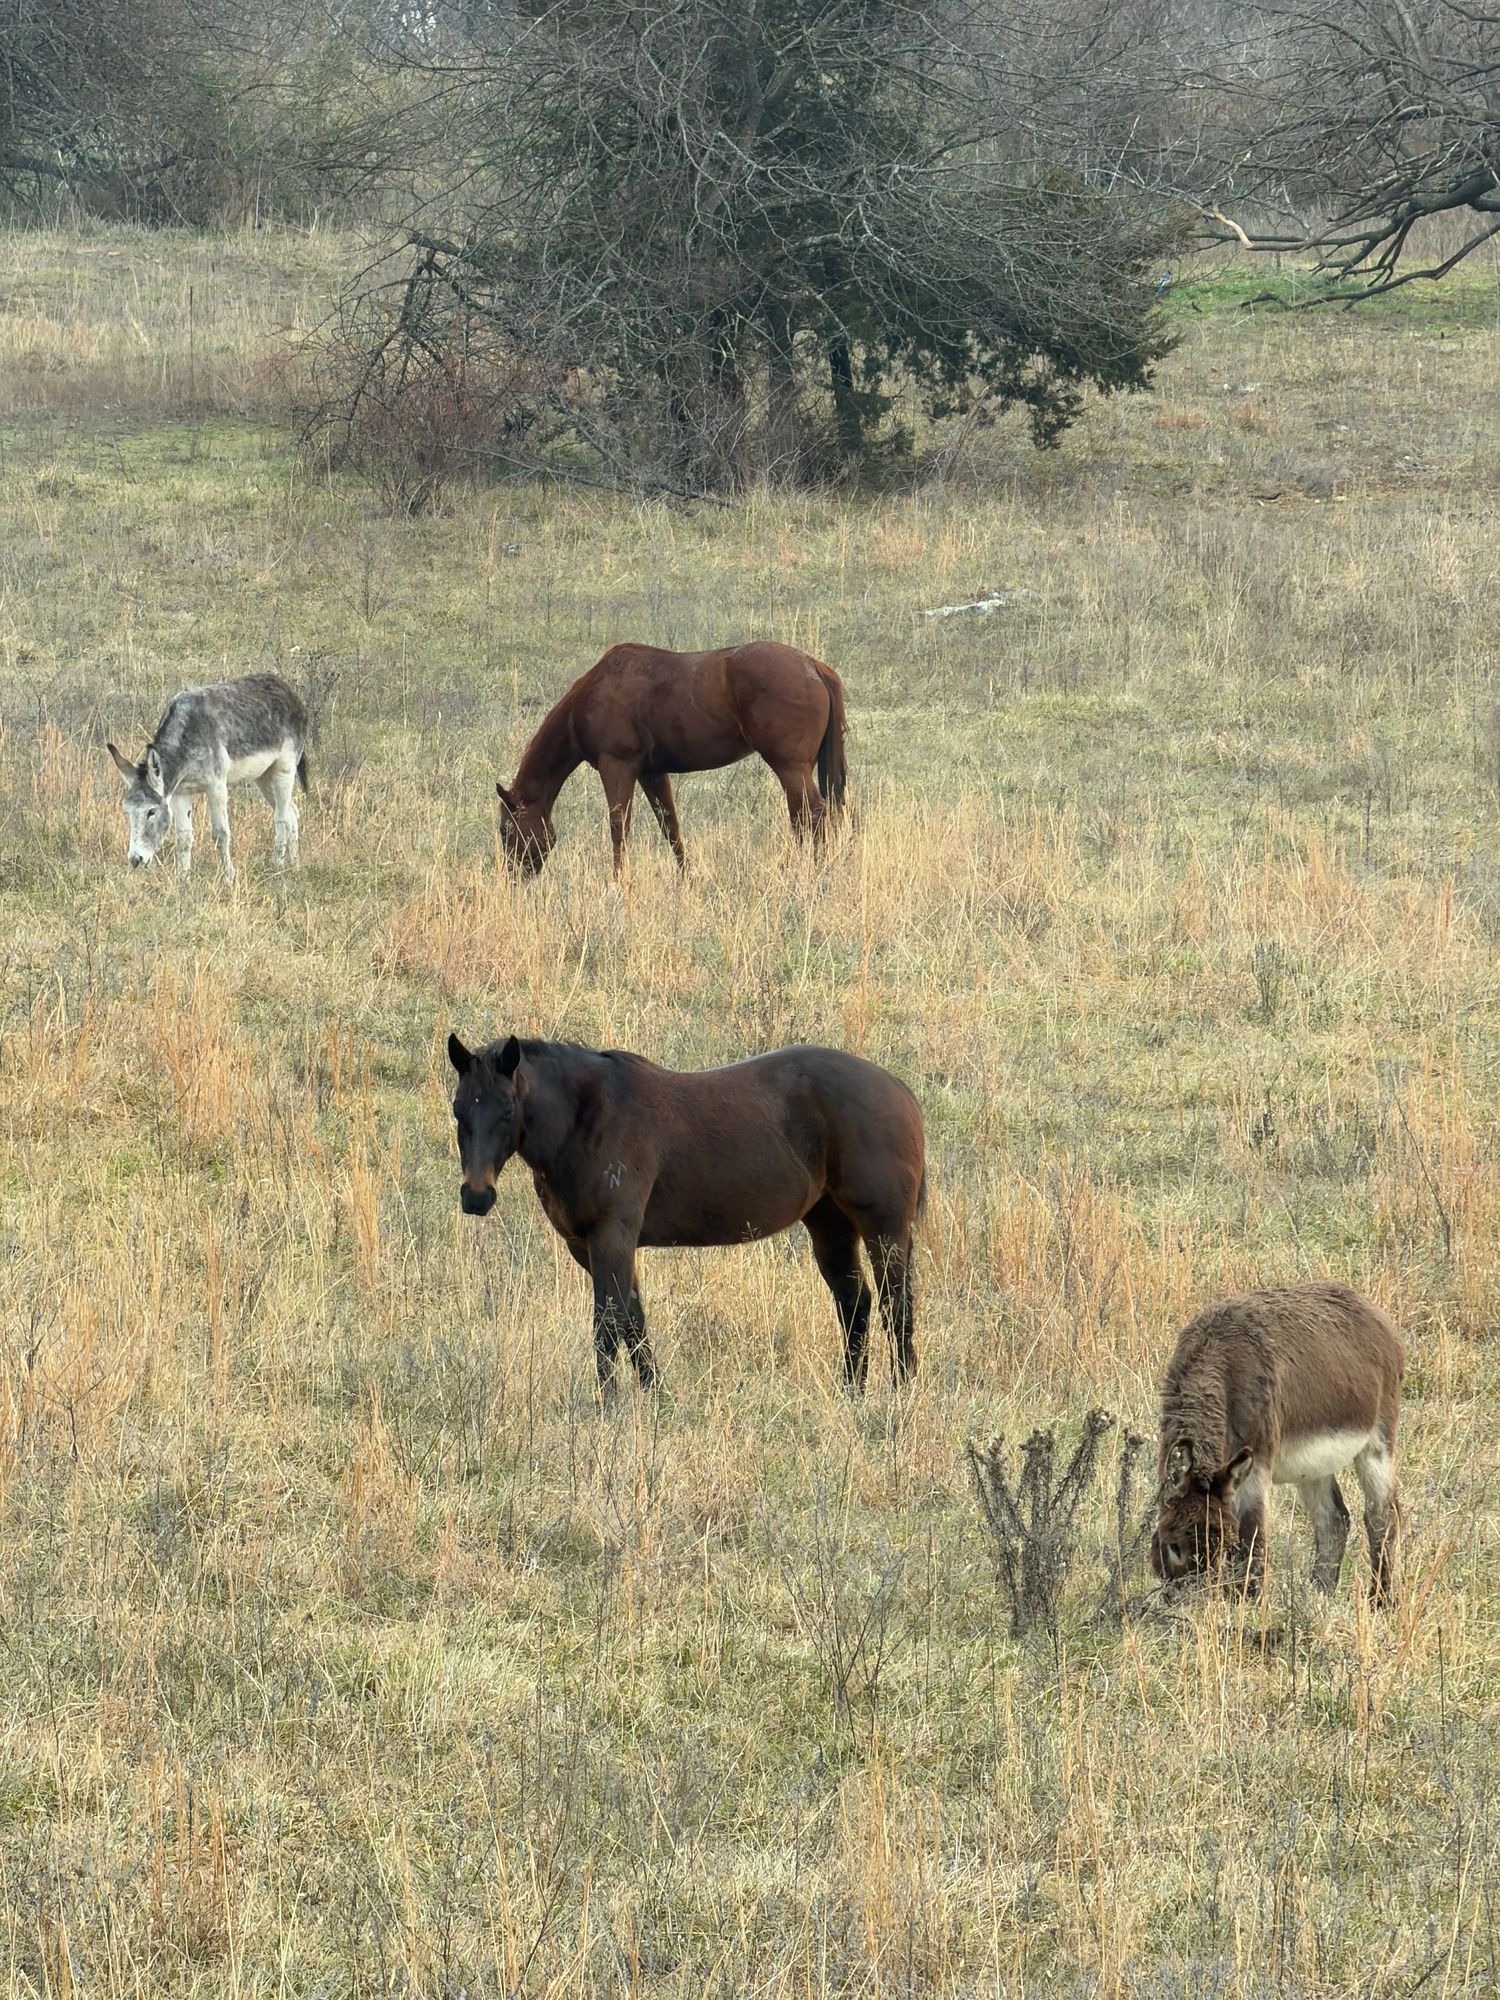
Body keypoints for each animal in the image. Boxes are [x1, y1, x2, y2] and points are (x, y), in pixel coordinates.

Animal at [107, 674, 309, 880]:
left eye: (151, 811)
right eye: (127, 811)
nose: (135, 860)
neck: (186, 738)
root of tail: (286, 689)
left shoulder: (217, 787)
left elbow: (221, 833)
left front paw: (229, 876)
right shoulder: (180, 792)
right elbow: (183, 837)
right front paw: (183, 879)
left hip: (283, 770)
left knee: (282, 819)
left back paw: (278, 867)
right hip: (263, 777)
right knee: (293, 812)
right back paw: (294, 866)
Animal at [447, 1034, 924, 1395]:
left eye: (507, 1110)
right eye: (458, 1109)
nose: (477, 1196)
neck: (589, 1118)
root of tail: (897, 1088)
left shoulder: (611, 1237)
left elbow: (608, 1324)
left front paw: (607, 1406)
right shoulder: (588, 1246)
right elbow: (633, 1320)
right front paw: (656, 1396)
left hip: (884, 1230)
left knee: (895, 1304)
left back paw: (900, 1392)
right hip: (831, 1227)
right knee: (855, 1303)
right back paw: (852, 1392)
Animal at [494, 641, 848, 874]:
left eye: (505, 830)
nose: (514, 876)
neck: (594, 692)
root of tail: (813, 666)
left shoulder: (617, 767)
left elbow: (619, 828)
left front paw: (619, 882)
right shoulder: (651, 773)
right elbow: (671, 827)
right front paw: (685, 878)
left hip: (790, 768)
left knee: (812, 815)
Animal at [1150, 1283, 1403, 1604]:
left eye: (1224, 1546)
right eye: (1174, 1545)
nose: (1193, 1603)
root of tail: (1371, 1311)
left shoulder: (1257, 1465)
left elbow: (1253, 1537)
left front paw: (1249, 1603)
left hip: (1377, 1442)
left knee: (1381, 1517)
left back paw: (1379, 1600)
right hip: (1314, 1465)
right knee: (1333, 1521)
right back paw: (1318, 1595)